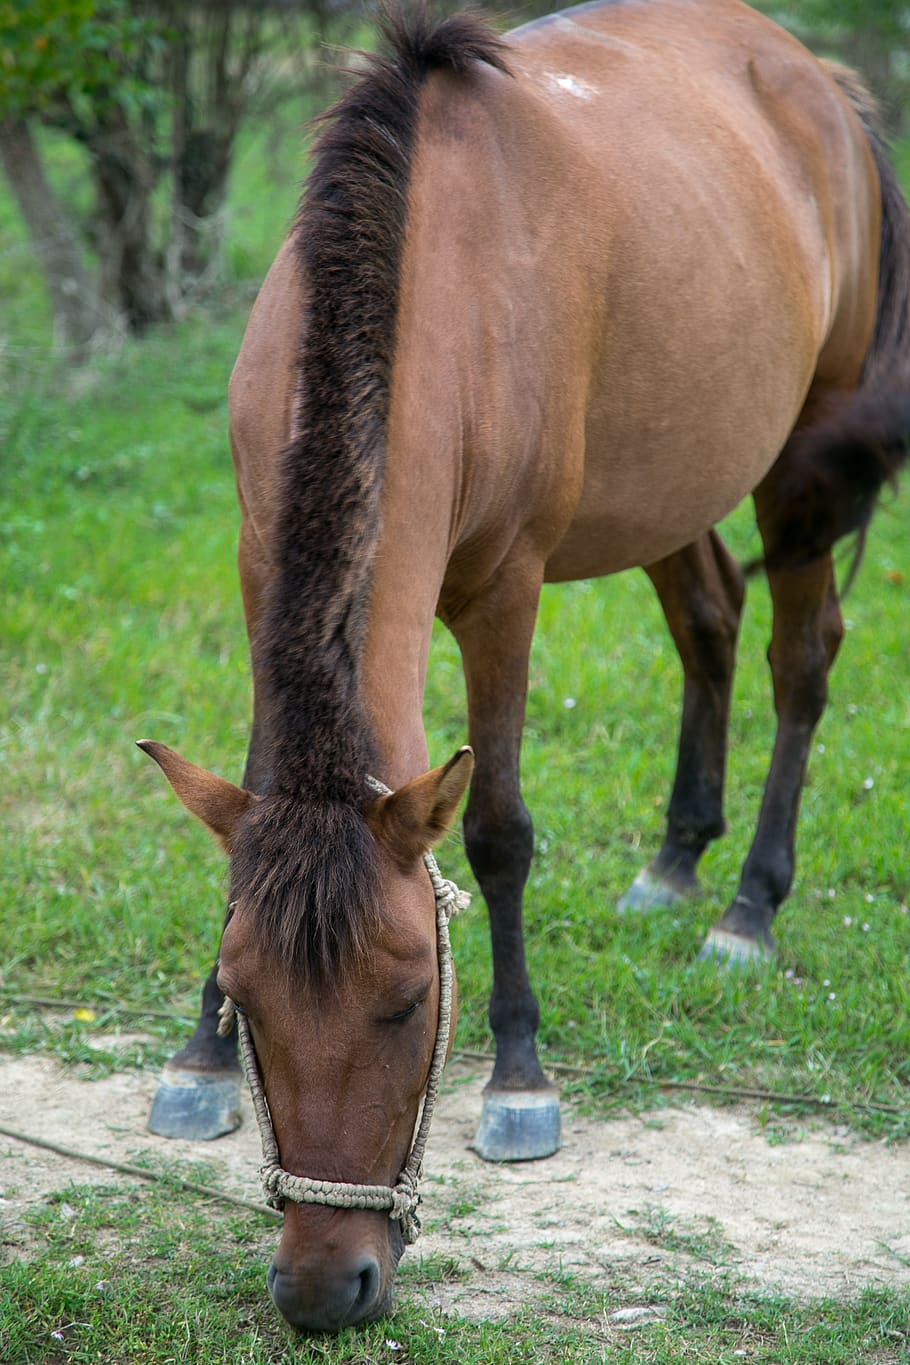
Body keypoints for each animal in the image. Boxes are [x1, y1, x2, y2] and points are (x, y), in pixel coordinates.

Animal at [138, 0, 910, 1332]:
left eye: (409, 1000)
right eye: (249, 1001)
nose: (324, 1287)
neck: (424, 267)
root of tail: (815, 77)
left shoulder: (502, 592)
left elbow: (496, 831)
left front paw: (518, 1076)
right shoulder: (255, 558)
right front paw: (195, 1061)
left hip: (801, 460)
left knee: (799, 660)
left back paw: (748, 905)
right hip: (668, 482)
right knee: (708, 620)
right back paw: (675, 858)